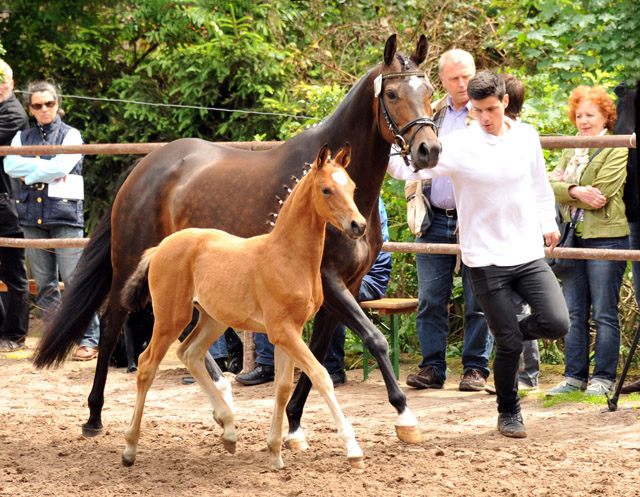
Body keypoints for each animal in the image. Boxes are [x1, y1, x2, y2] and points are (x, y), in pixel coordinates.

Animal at [121, 144, 364, 468]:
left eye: (352, 187)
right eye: (326, 189)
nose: (358, 225)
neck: (288, 256)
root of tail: (161, 246)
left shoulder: (290, 331)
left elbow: (282, 388)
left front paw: (275, 453)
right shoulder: (282, 331)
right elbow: (321, 376)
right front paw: (353, 449)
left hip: (213, 318)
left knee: (190, 353)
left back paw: (228, 430)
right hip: (170, 318)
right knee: (147, 365)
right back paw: (130, 448)